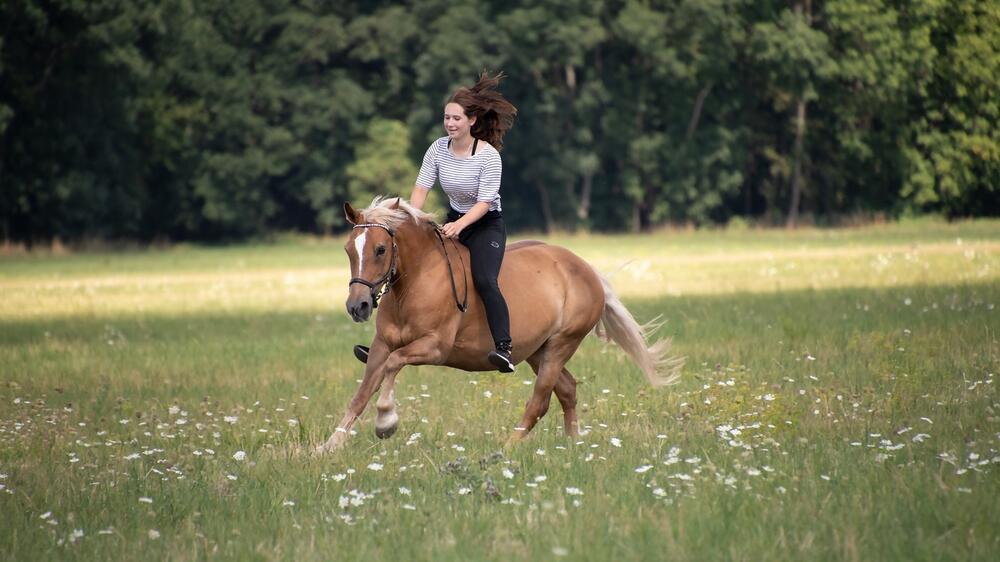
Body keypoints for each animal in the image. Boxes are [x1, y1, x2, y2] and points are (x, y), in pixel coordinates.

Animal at [316, 197, 684, 450]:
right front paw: (330, 446)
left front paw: (385, 421)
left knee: (540, 400)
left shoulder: (433, 347)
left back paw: (507, 448)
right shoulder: (381, 346)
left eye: (380, 249)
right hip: (537, 350)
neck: (416, 280)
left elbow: (393, 366)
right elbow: (362, 392)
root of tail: (586, 269)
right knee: (567, 390)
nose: (358, 306)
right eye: (349, 250)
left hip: (561, 344)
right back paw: (573, 446)